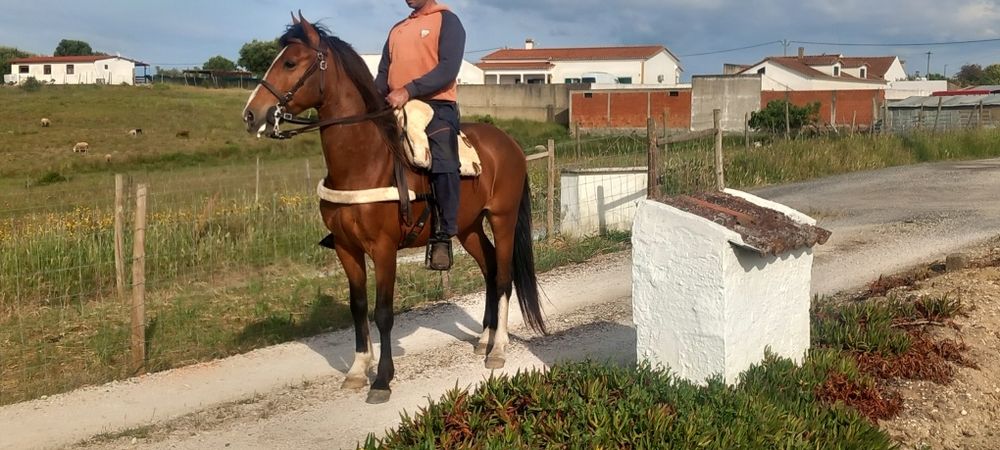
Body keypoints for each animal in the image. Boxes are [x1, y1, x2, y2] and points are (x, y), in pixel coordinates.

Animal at [242, 13, 546, 404]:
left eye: (291, 63)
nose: (252, 114)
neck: (363, 163)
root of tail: (509, 144)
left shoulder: (384, 249)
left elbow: (383, 312)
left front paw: (382, 379)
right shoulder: (347, 249)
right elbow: (357, 307)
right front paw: (358, 370)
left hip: (502, 220)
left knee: (504, 276)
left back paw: (498, 349)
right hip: (468, 228)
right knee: (491, 270)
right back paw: (483, 339)